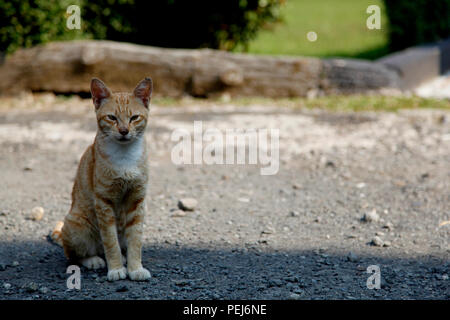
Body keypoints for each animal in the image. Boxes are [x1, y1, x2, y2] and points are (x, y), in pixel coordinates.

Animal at [51, 76, 152, 282]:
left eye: (134, 118)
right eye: (112, 118)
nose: (123, 130)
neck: (125, 156)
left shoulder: (137, 200)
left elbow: (135, 240)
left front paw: (135, 268)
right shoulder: (104, 202)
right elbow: (110, 241)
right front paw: (116, 268)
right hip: (77, 226)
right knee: (74, 254)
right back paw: (93, 260)